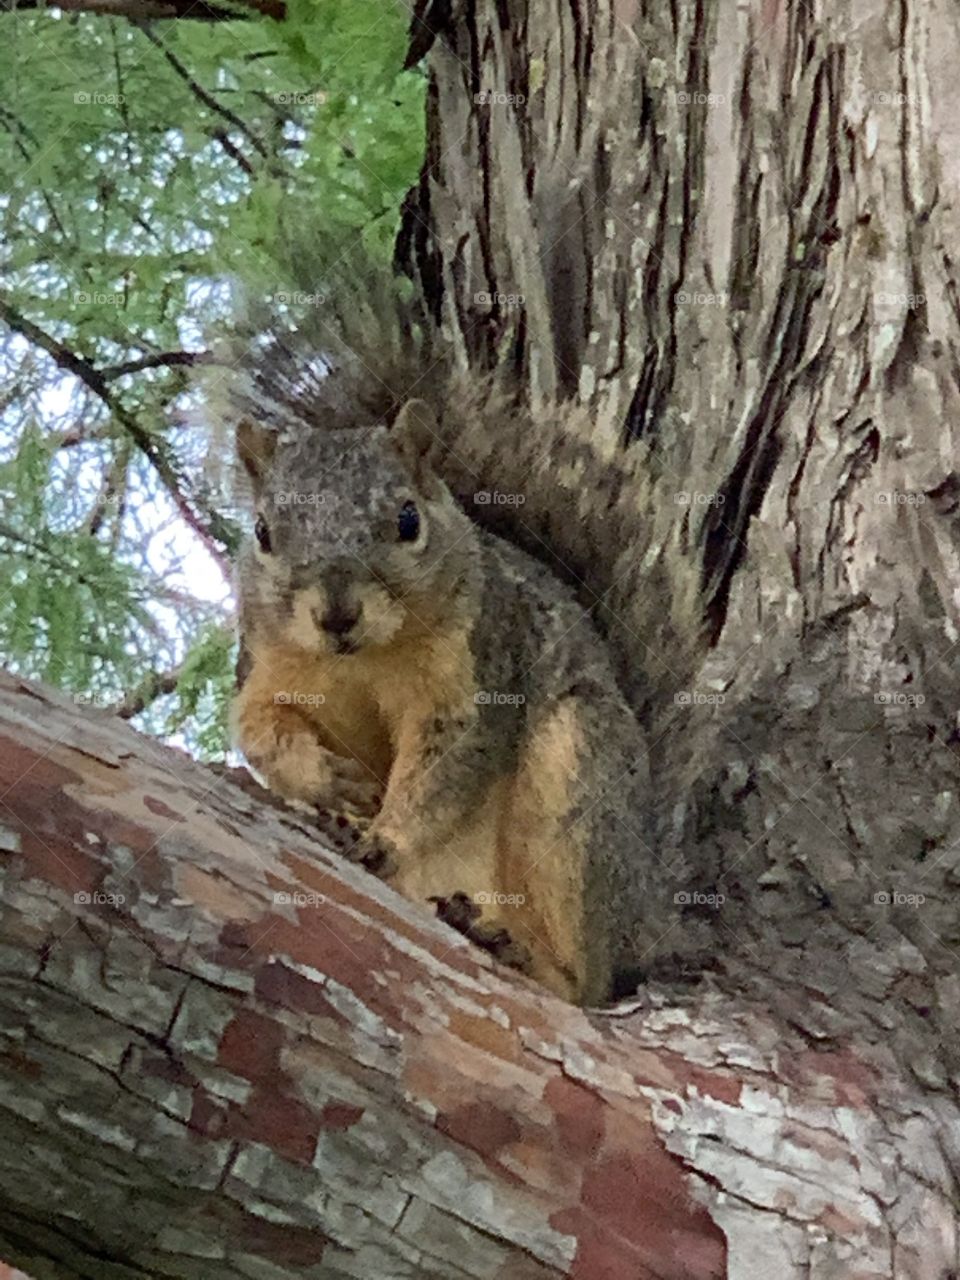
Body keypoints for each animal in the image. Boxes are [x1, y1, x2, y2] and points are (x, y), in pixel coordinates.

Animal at [229, 393, 682, 1005]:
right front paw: (329, 781)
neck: (363, 658)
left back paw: (520, 954)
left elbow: (443, 768)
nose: (337, 615)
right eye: (262, 532)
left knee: (585, 986)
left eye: (407, 519)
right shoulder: (264, 669)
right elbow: (261, 732)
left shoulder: (474, 670)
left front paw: (387, 838)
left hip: (581, 778)